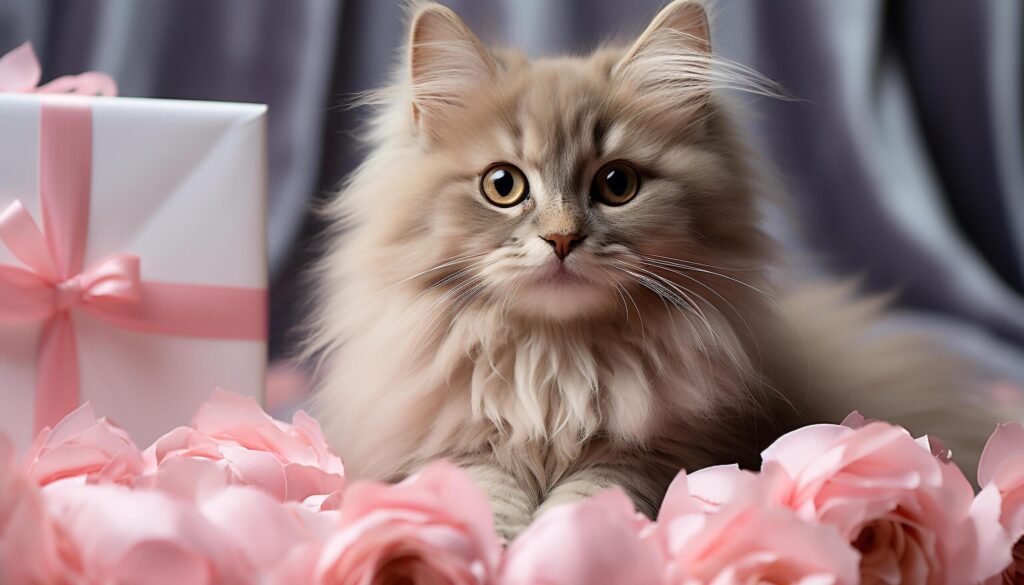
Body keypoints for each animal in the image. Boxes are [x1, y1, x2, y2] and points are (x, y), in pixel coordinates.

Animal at [307, 0, 1003, 540]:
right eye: (503, 185)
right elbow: (485, 497)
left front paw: (556, 544)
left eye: (617, 185)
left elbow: (586, 501)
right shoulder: (455, 444)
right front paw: (501, 545)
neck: (556, 361)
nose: (562, 238)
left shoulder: (656, 454)